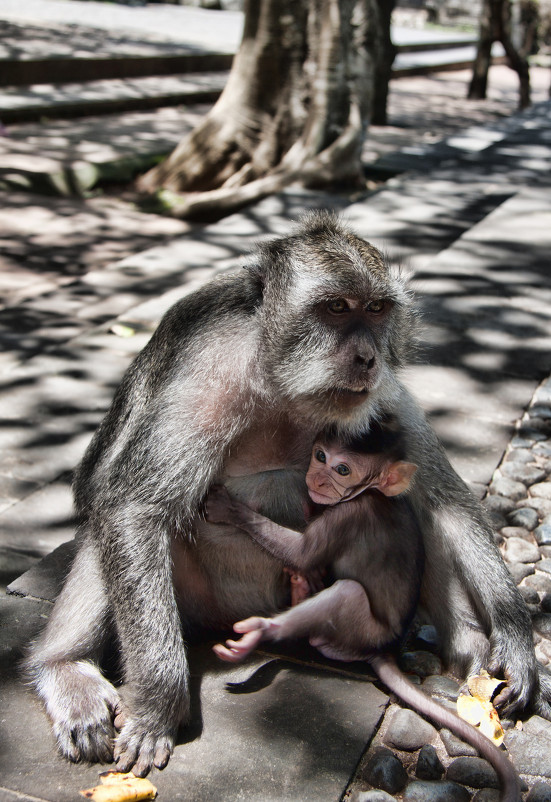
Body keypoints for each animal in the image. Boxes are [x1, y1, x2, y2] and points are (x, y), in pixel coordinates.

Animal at [207, 418, 520, 800]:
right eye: (320, 455)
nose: (316, 479)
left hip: (362, 630)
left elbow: (302, 554)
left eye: (342, 469)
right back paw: (299, 591)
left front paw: (229, 509)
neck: (367, 493)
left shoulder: (348, 515)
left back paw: (266, 631)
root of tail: (385, 649)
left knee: (348, 593)